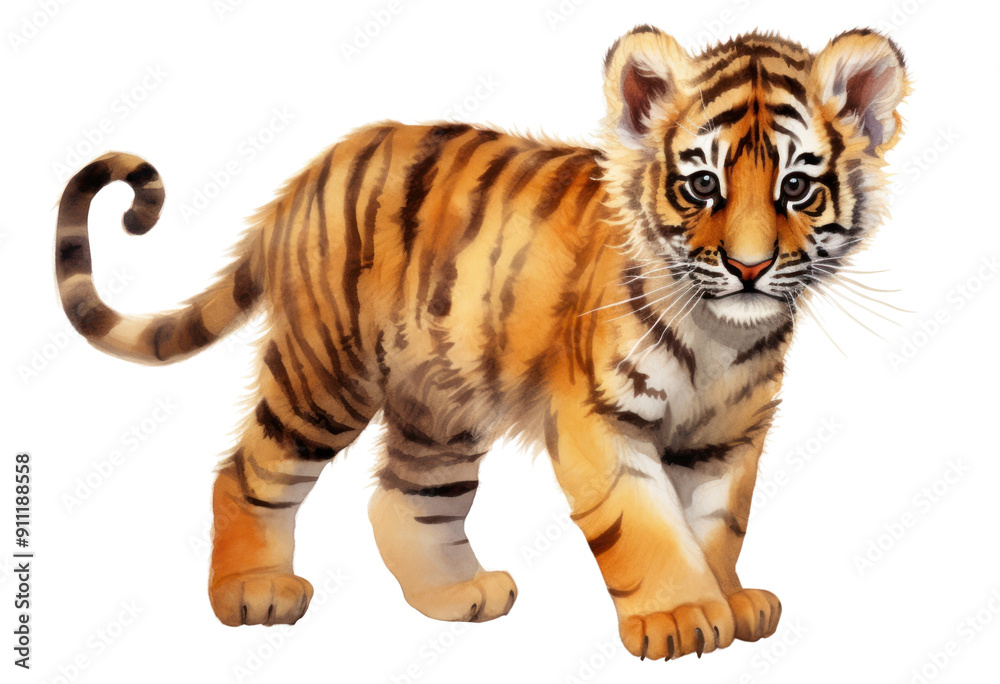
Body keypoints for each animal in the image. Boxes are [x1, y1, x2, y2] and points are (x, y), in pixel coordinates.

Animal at [54, 26, 909, 661]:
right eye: (702, 185)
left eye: (796, 187)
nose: (750, 267)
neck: (724, 334)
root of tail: (303, 180)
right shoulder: (599, 419)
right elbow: (645, 527)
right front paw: (681, 617)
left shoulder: (727, 437)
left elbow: (714, 527)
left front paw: (729, 601)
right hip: (325, 374)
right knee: (247, 470)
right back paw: (250, 590)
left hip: (441, 398)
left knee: (406, 500)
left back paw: (456, 595)